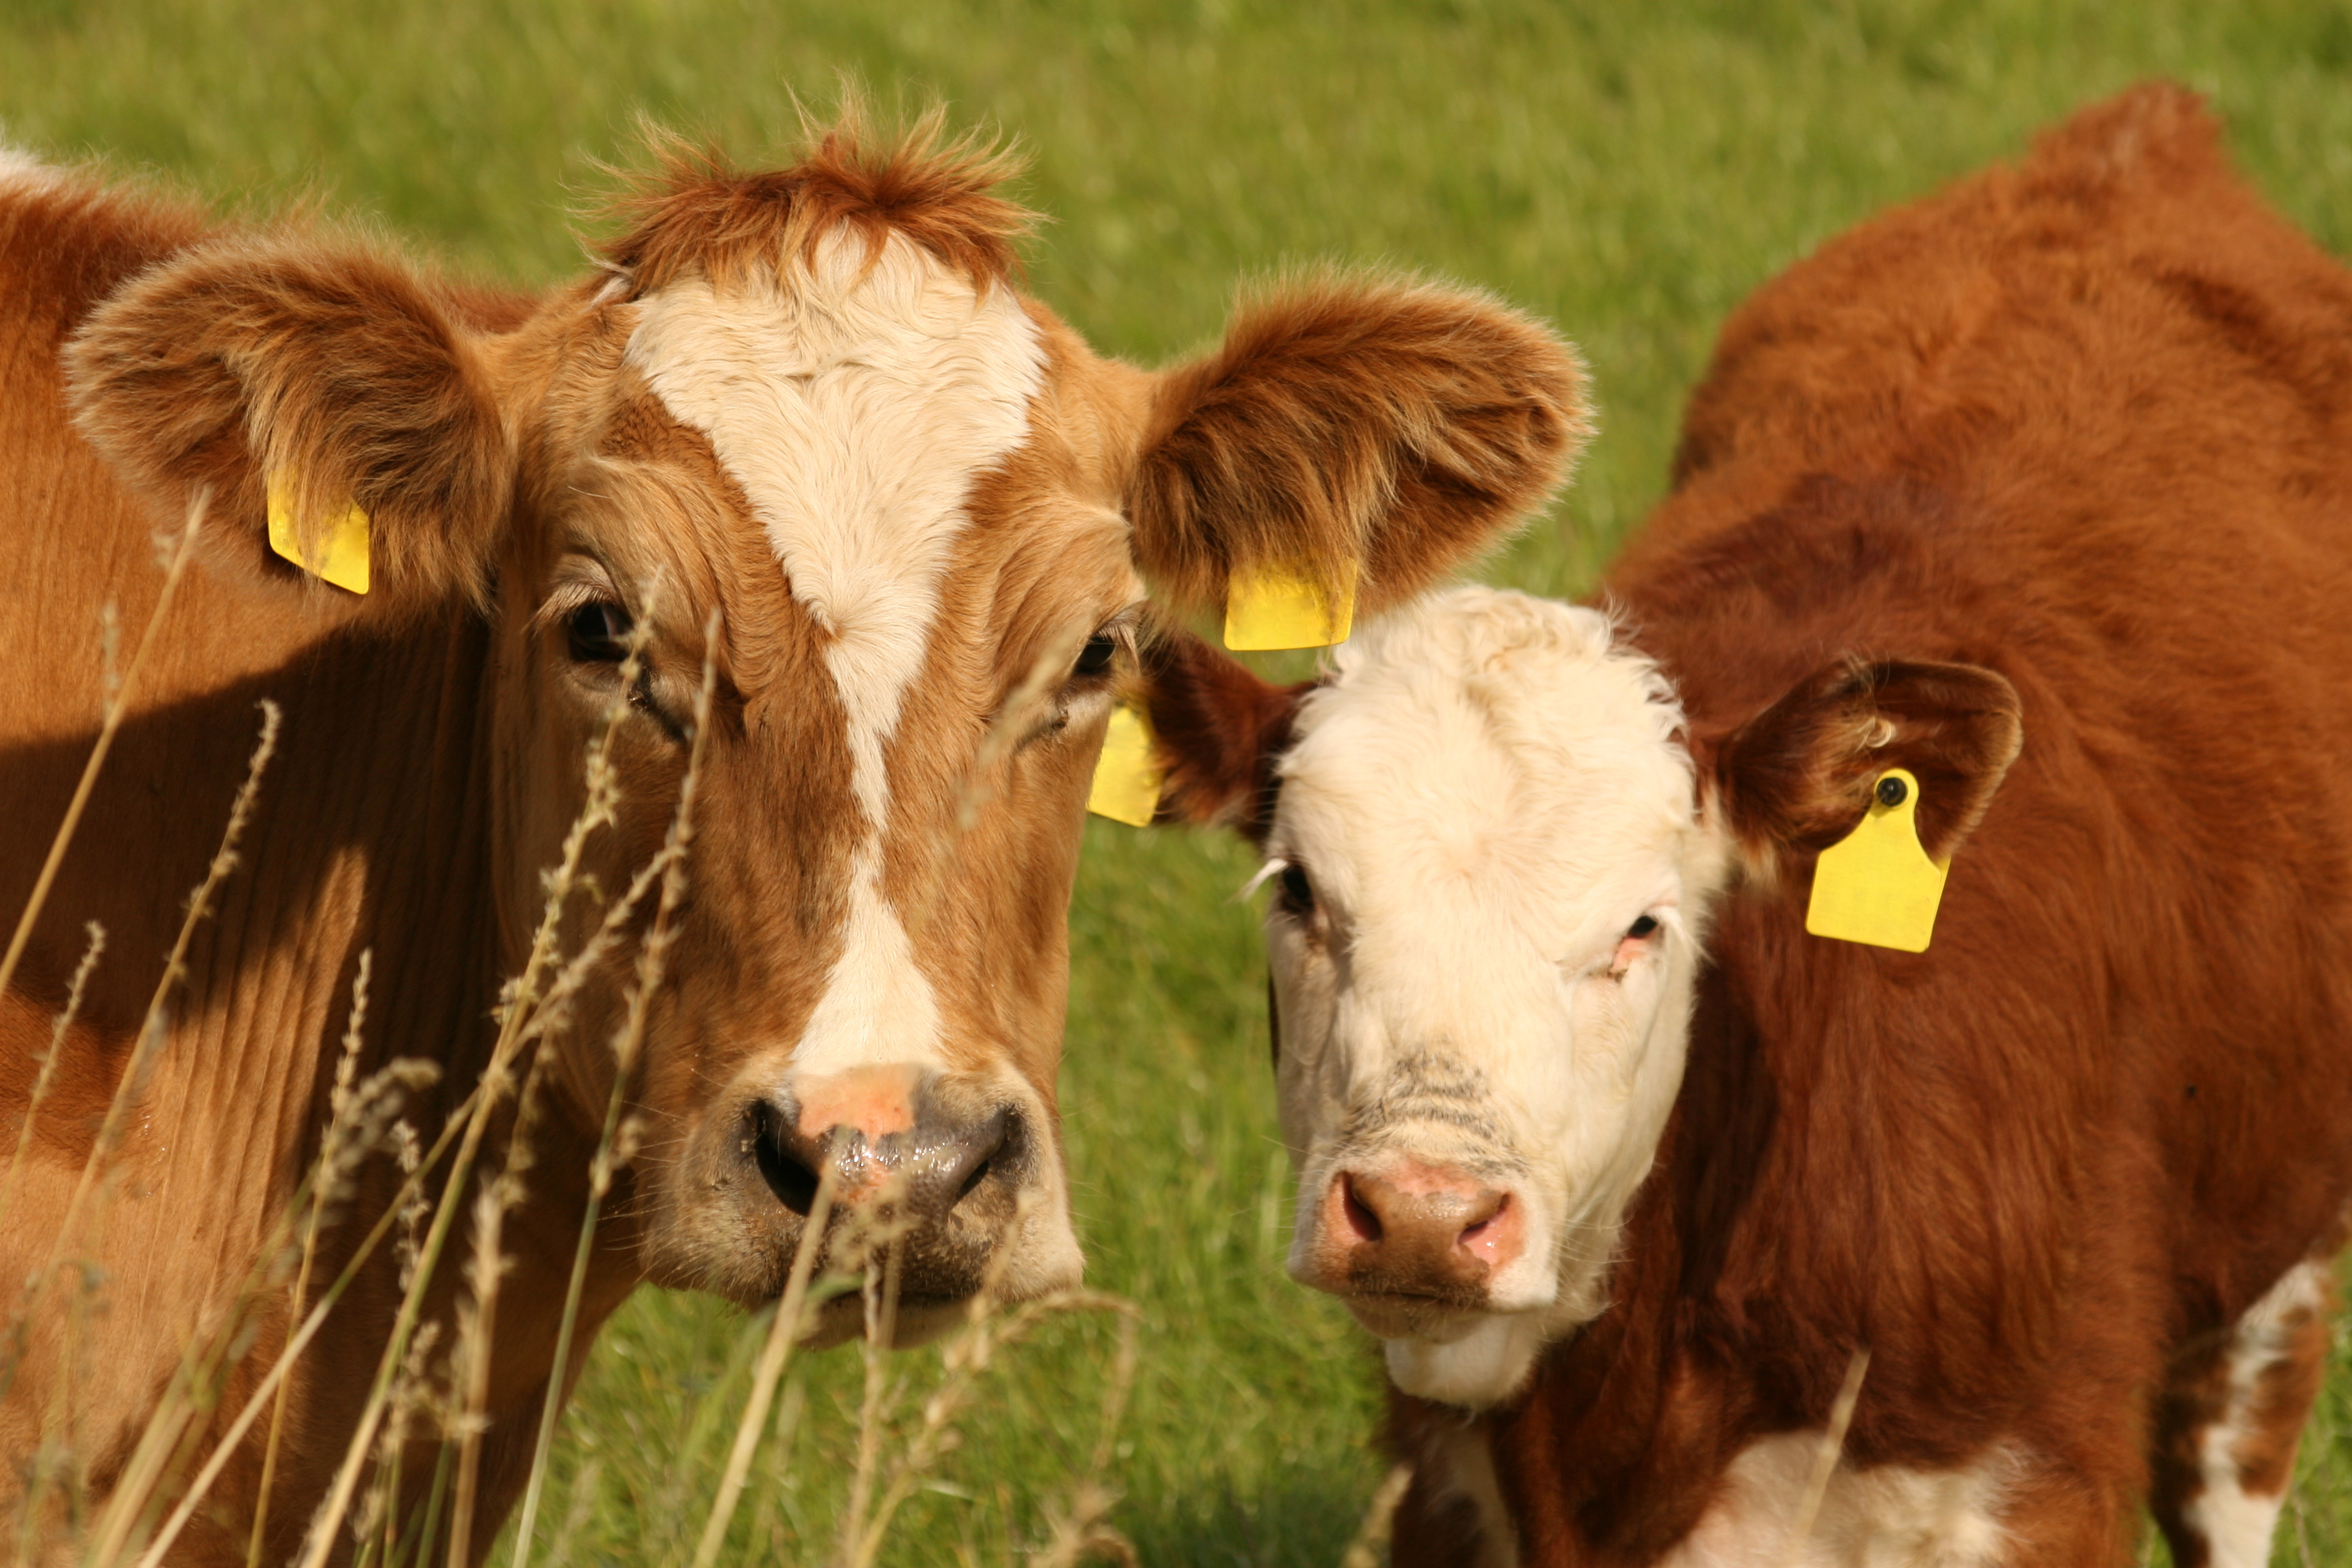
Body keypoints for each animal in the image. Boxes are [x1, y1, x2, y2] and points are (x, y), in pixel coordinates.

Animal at [1139, 85, 2352, 1567]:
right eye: (1299, 892)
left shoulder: (2034, 1482)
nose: (1424, 1213)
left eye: (1642, 927)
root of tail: (2135, 131)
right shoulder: (1442, 1483)